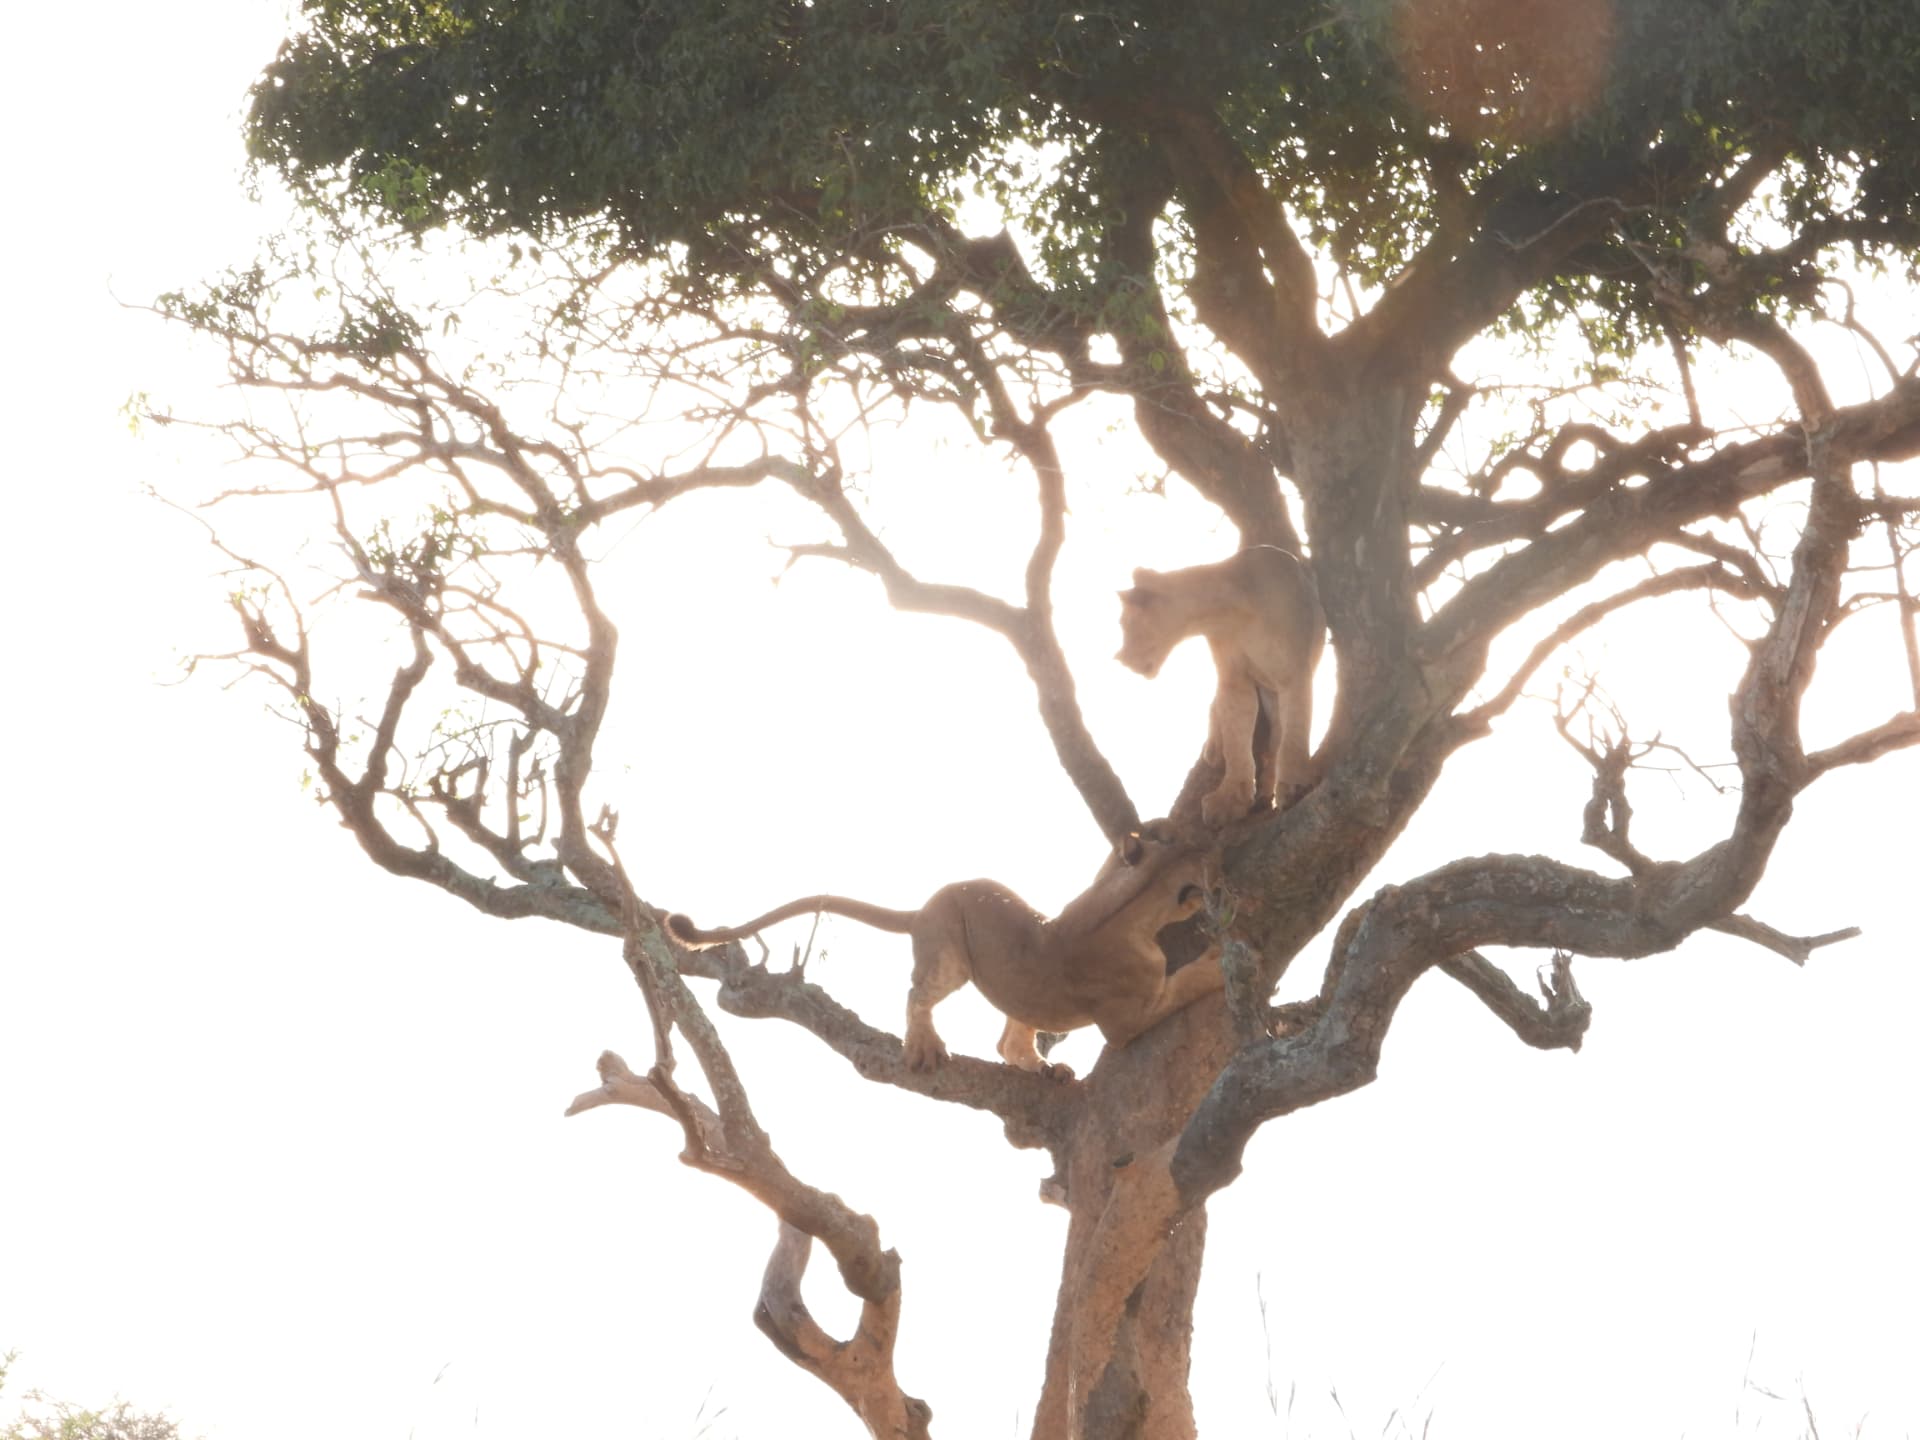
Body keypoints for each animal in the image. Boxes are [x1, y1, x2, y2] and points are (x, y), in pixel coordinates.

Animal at [665, 826, 1221, 1074]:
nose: (1206, 842)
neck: (1132, 902)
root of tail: (923, 907)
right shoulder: (1127, 1021)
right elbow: (1182, 986)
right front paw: (1219, 964)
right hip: (951, 958)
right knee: (917, 993)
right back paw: (925, 1047)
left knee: (1009, 1038)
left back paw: (1043, 1068)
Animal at [1117, 544, 1325, 826]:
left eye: (1124, 624)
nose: (1120, 659)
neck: (1229, 613)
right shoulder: (1234, 679)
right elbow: (1236, 738)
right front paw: (1229, 800)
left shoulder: (1292, 671)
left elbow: (1294, 731)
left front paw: (1294, 785)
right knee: (1218, 710)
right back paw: (1215, 749)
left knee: (1276, 736)